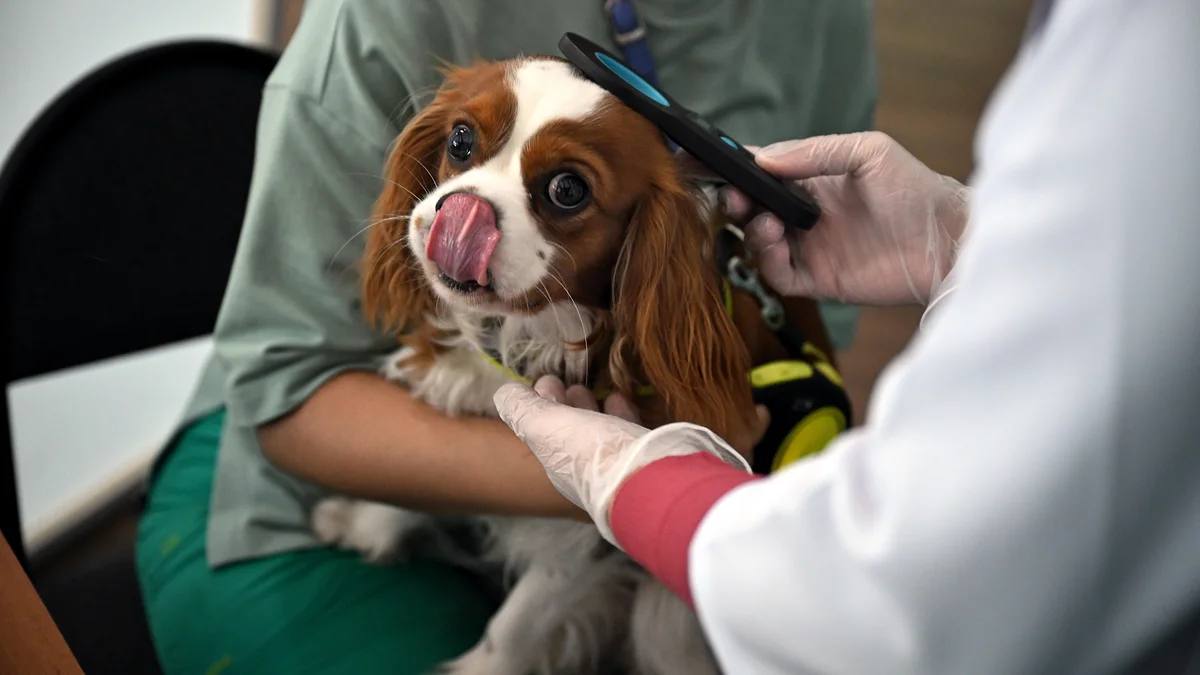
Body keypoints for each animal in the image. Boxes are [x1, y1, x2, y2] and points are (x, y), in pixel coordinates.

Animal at [314, 57, 830, 672]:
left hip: (664, 622)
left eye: (567, 190)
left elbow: (515, 625)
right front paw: (362, 521)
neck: (529, 336)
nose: (459, 210)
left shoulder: (585, 536)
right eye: (460, 140)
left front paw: (482, 666)